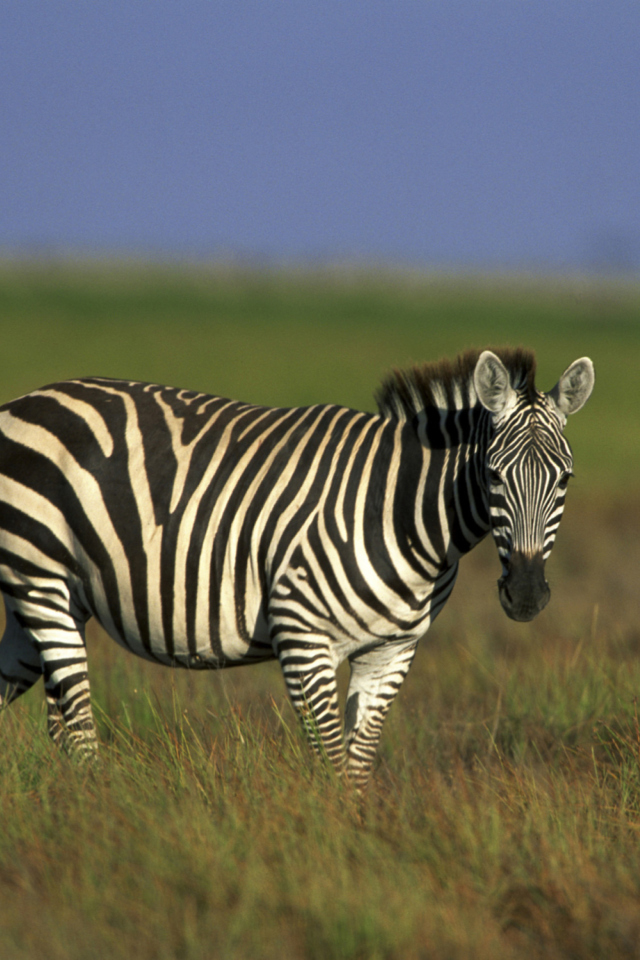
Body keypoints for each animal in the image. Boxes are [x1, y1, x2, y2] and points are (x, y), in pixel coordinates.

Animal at [0, 344, 592, 788]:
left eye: (565, 479)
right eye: (493, 475)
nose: (526, 595)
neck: (402, 510)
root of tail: (22, 403)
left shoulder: (392, 650)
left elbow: (357, 766)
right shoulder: (303, 638)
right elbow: (331, 762)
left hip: (45, 601)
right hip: (41, 580)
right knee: (78, 732)